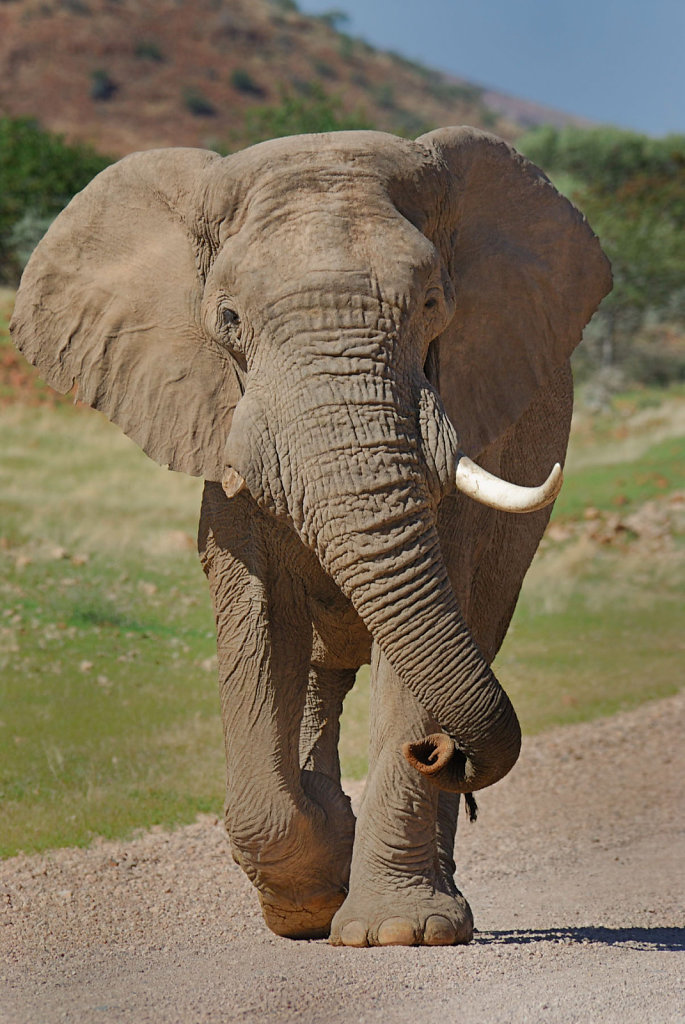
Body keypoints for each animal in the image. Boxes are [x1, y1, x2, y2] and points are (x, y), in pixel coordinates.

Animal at [10, 125, 610, 942]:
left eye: (432, 302)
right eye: (228, 319)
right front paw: (307, 897)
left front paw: (398, 930)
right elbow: (258, 622)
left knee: (466, 638)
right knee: (322, 675)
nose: (437, 752)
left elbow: (424, 621)